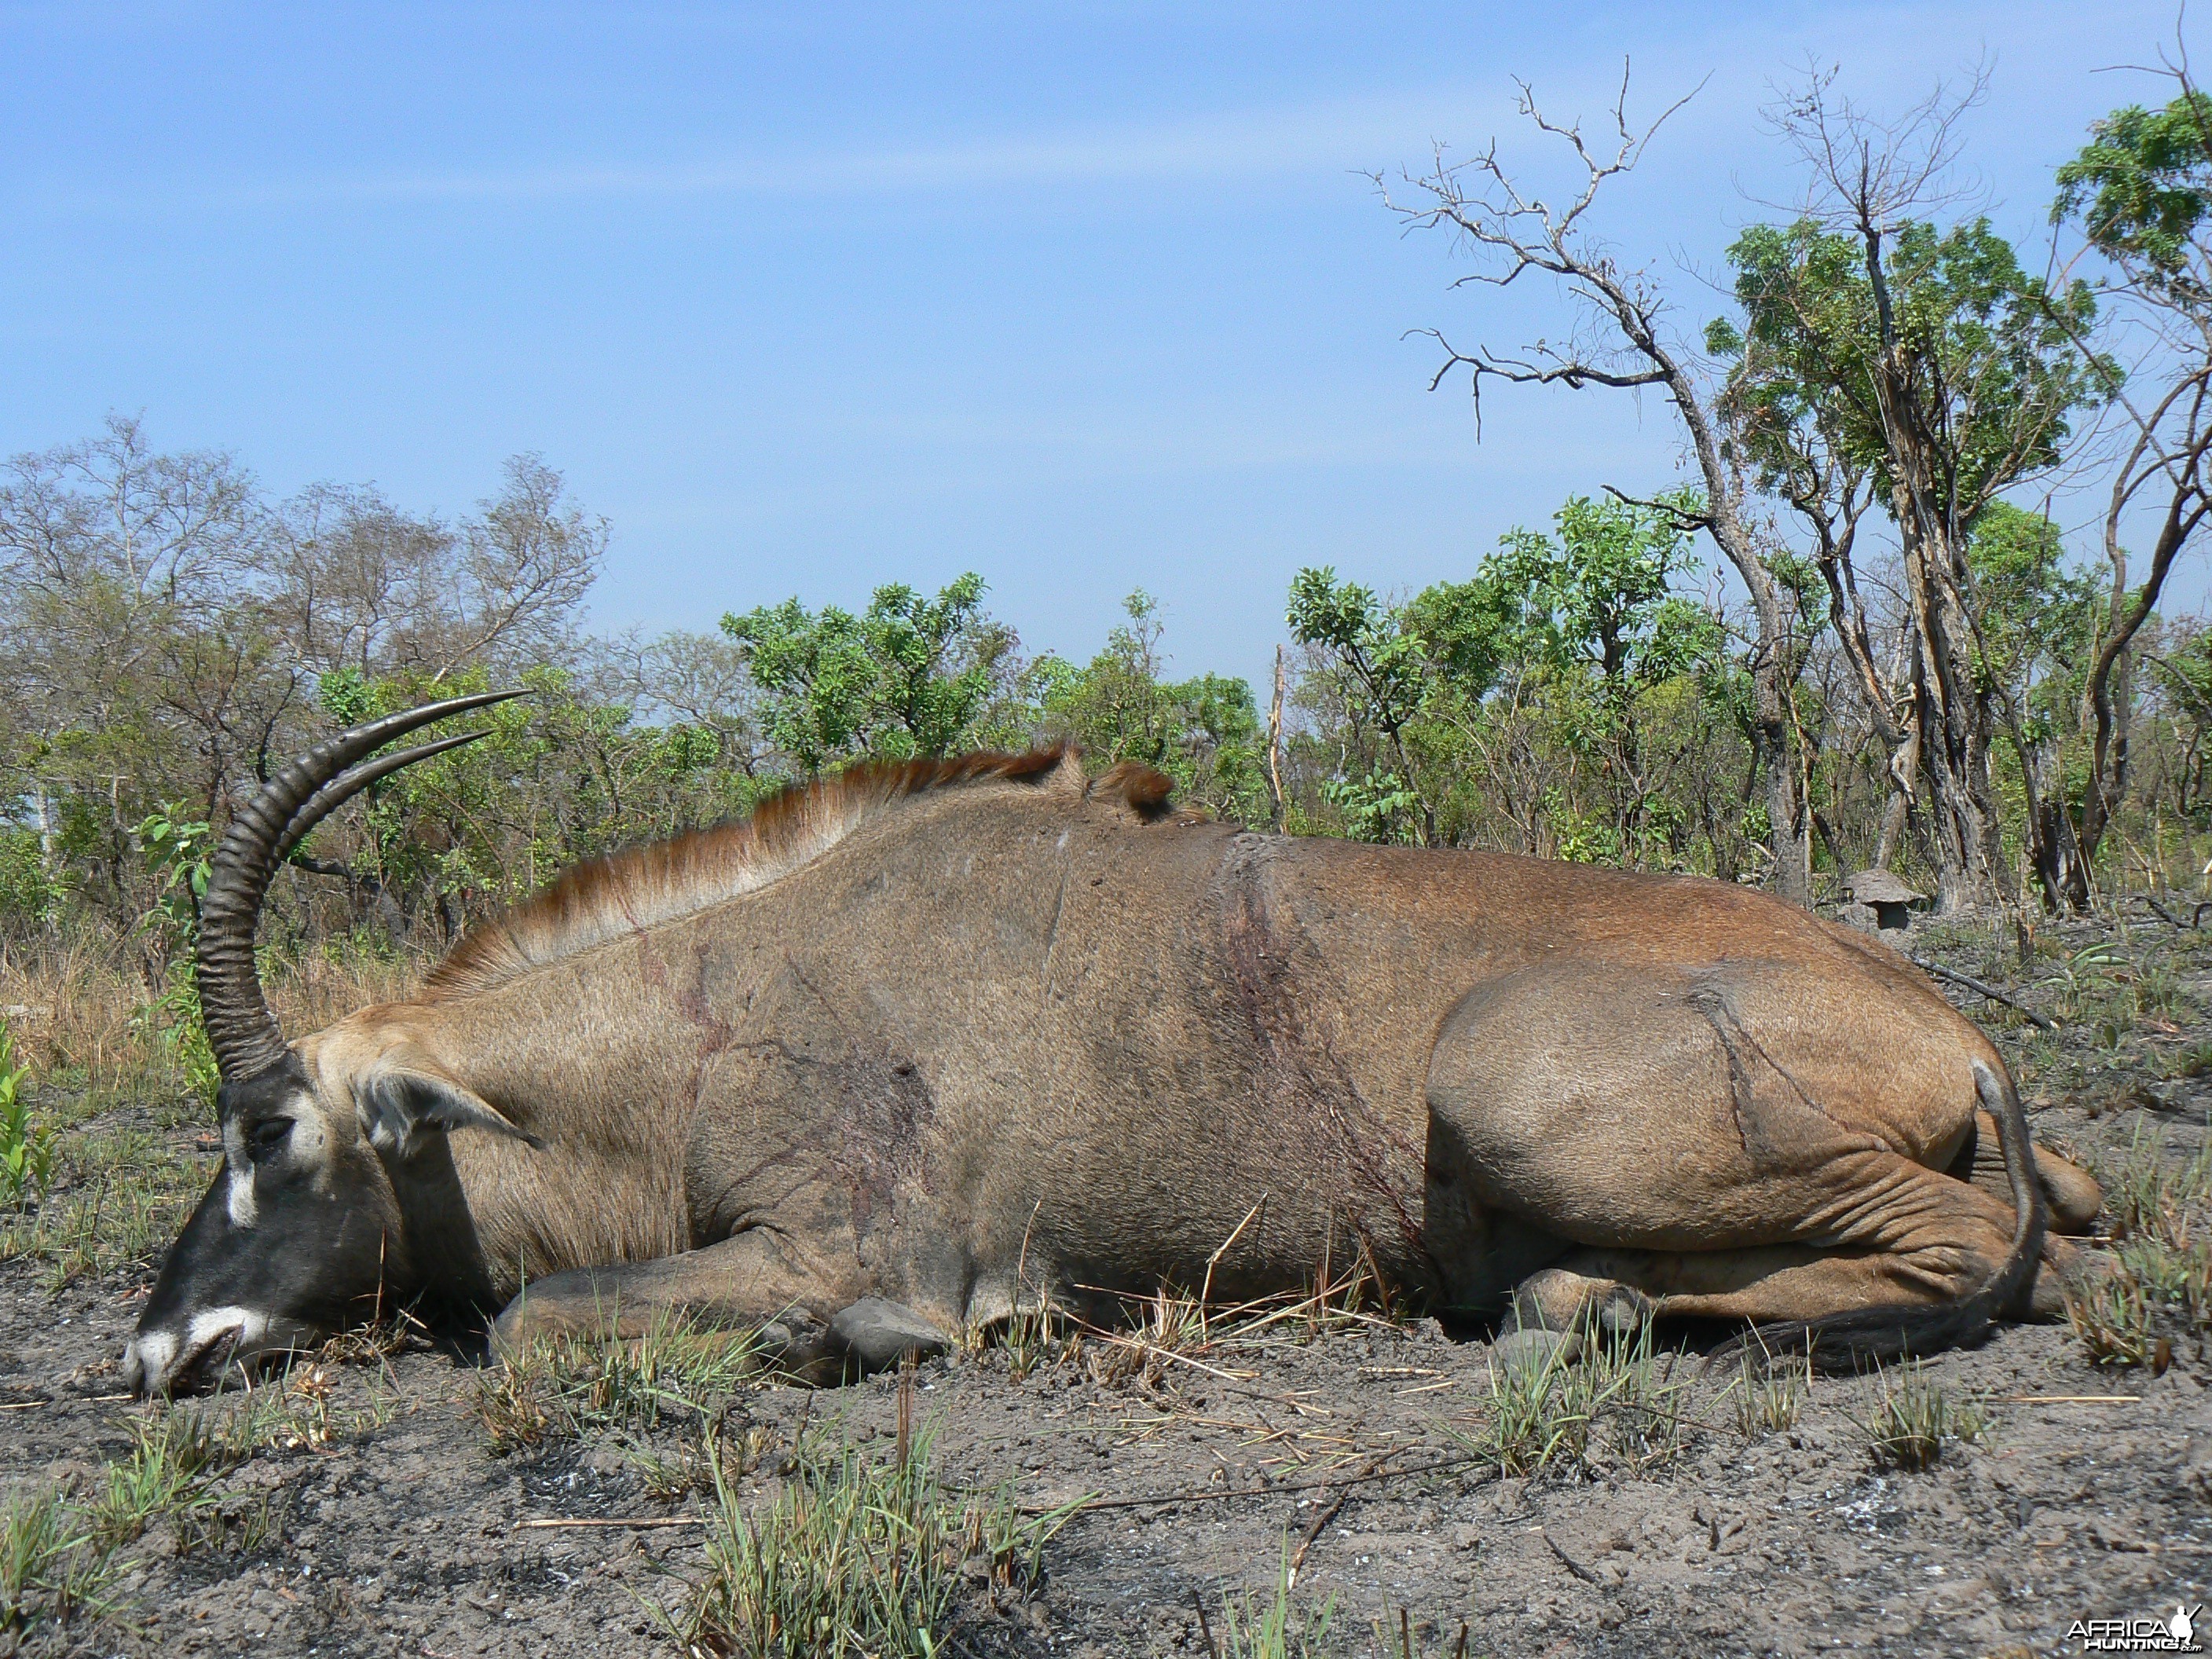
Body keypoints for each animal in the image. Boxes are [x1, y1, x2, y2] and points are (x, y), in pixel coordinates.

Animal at [121, 694, 2088, 1397]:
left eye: (270, 1133)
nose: (152, 1352)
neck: (704, 1014)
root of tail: (1953, 1032)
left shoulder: (849, 1243)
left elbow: (533, 1320)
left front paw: (847, 1347)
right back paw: (1584, 1300)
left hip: (1504, 1086)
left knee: (1978, 1253)